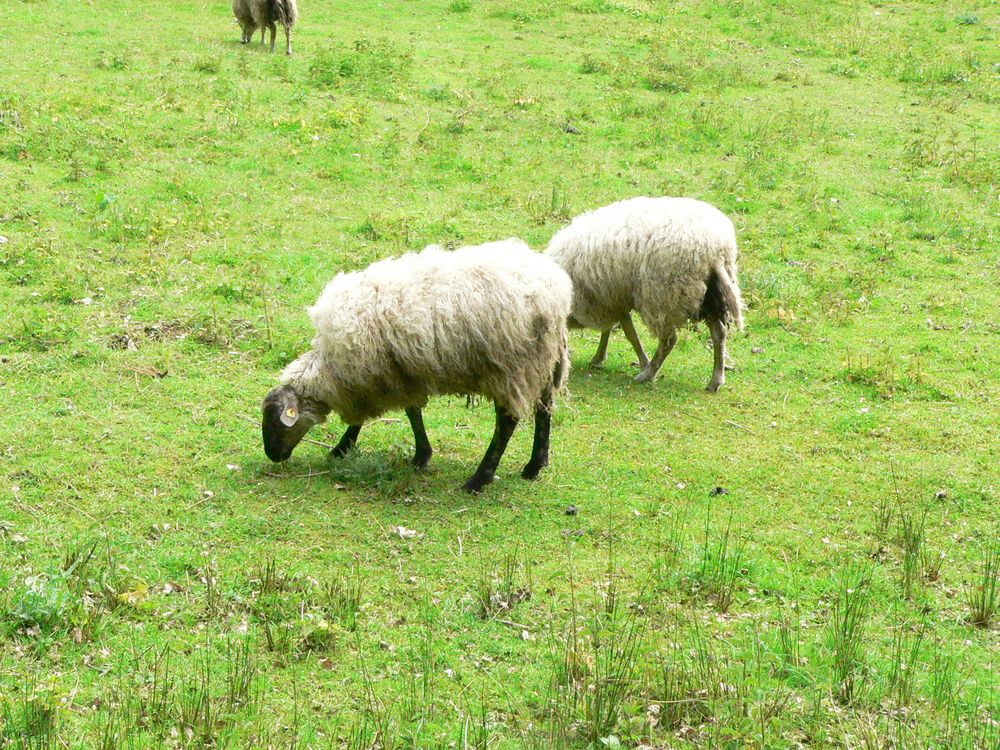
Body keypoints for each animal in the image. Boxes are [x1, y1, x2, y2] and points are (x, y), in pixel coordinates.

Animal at [260, 239, 572, 494]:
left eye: (276, 422)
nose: (273, 456)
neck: (330, 370)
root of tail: (556, 289)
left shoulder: (377, 376)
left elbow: (397, 414)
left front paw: (345, 447)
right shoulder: (397, 375)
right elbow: (413, 413)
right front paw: (418, 455)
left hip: (512, 367)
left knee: (507, 421)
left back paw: (479, 479)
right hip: (542, 362)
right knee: (544, 408)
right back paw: (535, 465)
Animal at [544, 194, 748, 394]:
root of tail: (716, 250)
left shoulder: (606, 300)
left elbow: (628, 333)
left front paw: (641, 362)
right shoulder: (612, 297)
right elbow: (615, 330)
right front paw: (599, 358)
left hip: (663, 295)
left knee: (669, 340)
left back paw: (648, 374)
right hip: (710, 295)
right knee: (719, 333)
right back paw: (716, 381)